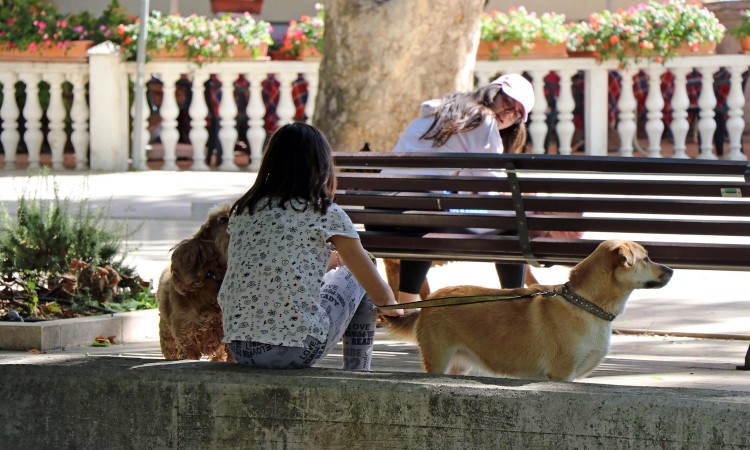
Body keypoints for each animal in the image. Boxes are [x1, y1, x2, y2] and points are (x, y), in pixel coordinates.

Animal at [384, 239, 672, 380]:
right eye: (646, 258)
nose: (671, 270)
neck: (584, 303)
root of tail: (430, 301)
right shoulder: (561, 375)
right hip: (438, 360)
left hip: (458, 365)